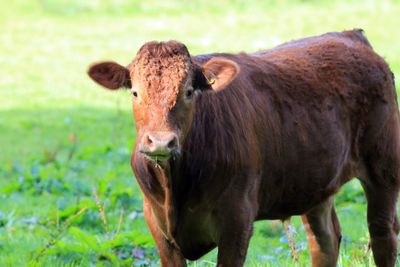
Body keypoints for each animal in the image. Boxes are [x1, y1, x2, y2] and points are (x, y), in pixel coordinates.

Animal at [88, 29, 400, 267]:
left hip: (383, 168)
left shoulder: (237, 220)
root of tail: (350, 36)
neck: (175, 186)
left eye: (189, 91)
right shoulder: (158, 226)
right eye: (135, 92)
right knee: (325, 240)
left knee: (382, 234)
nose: (162, 141)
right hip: (315, 182)